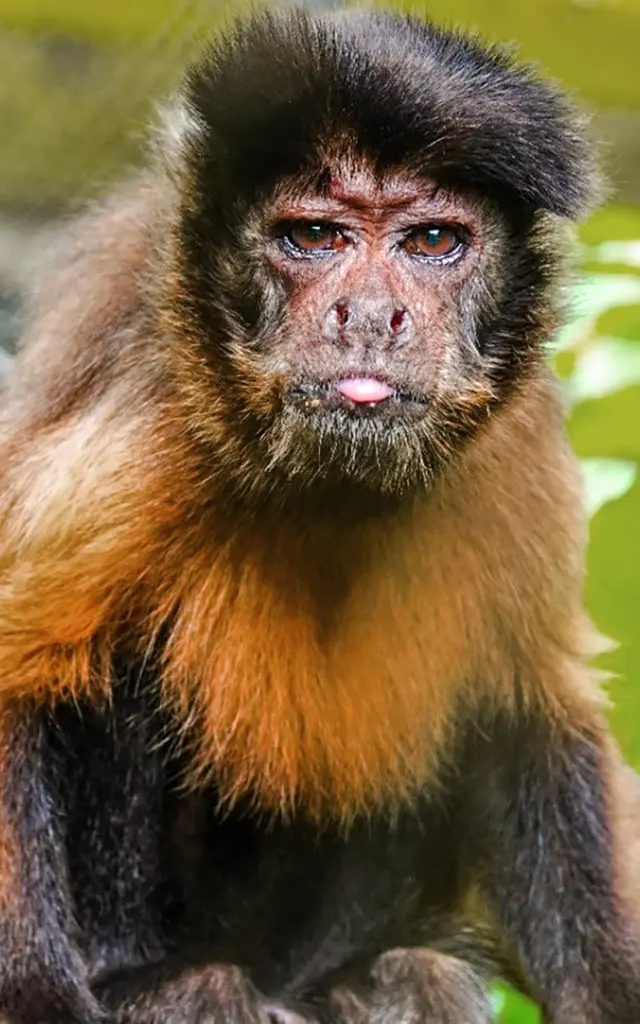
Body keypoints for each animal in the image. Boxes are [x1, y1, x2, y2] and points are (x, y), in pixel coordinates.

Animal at [0, 5, 640, 1022]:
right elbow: (21, 676)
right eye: (313, 238)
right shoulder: (148, 400)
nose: (371, 313)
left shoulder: (519, 436)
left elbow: (528, 719)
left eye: (432, 243)